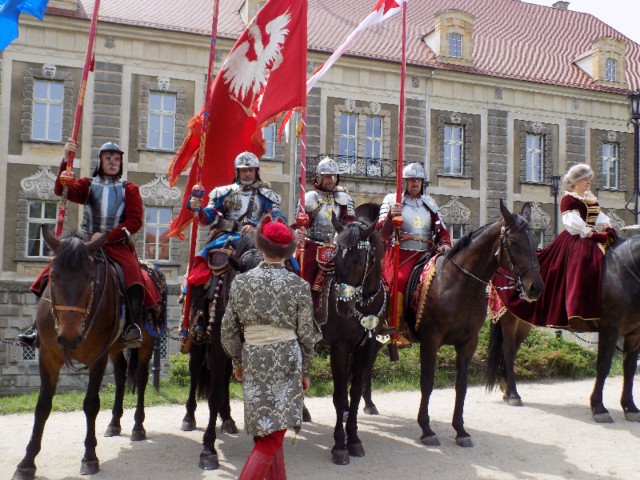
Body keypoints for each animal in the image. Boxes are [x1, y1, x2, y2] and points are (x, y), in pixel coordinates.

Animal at [13, 226, 168, 480]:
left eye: (90, 277)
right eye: (53, 276)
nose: (69, 337)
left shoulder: (98, 357)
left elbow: (91, 404)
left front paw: (89, 457)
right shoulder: (48, 357)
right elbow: (42, 406)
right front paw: (27, 462)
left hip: (145, 345)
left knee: (142, 378)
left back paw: (138, 427)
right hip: (115, 348)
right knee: (121, 375)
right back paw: (114, 423)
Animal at [179, 232, 258, 468]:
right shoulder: (217, 351)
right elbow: (214, 394)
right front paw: (208, 448)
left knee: (223, 378)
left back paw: (228, 419)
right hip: (198, 345)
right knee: (196, 372)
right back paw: (189, 418)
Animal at [322, 216, 388, 464]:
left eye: (359, 261)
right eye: (334, 258)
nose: (342, 307)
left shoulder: (367, 346)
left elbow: (356, 390)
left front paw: (354, 440)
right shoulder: (339, 347)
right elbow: (340, 393)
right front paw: (340, 445)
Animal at [410, 201, 544, 448]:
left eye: (534, 241)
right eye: (513, 242)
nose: (535, 287)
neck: (458, 283)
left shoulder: (468, 343)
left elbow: (461, 386)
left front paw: (460, 429)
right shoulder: (429, 341)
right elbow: (427, 382)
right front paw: (426, 428)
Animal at [484, 232, 640, 424]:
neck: (623, 273)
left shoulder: (634, 333)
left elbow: (630, 368)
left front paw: (630, 407)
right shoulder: (610, 329)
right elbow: (604, 366)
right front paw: (599, 408)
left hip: (523, 322)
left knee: (513, 351)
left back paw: (507, 390)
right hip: (509, 319)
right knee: (508, 351)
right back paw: (513, 394)